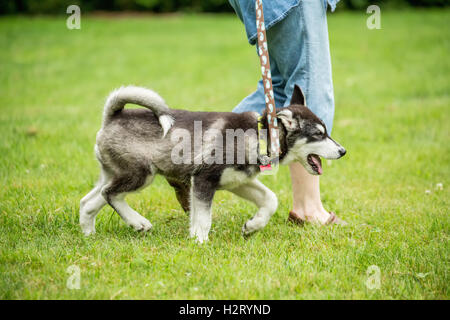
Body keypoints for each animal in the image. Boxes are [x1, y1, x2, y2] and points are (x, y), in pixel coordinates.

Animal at [79, 85, 346, 242]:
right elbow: (203, 218)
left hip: (115, 172)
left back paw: (88, 234)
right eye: (319, 134)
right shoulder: (203, 180)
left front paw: (252, 226)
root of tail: (113, 116)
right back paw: (138, 222)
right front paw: (200, 243)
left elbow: (270, 199)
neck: (259, 136)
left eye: (326, 132)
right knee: (110, 194)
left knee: (90, 200)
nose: (343, 151)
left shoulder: (238, 182)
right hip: (141, 173)